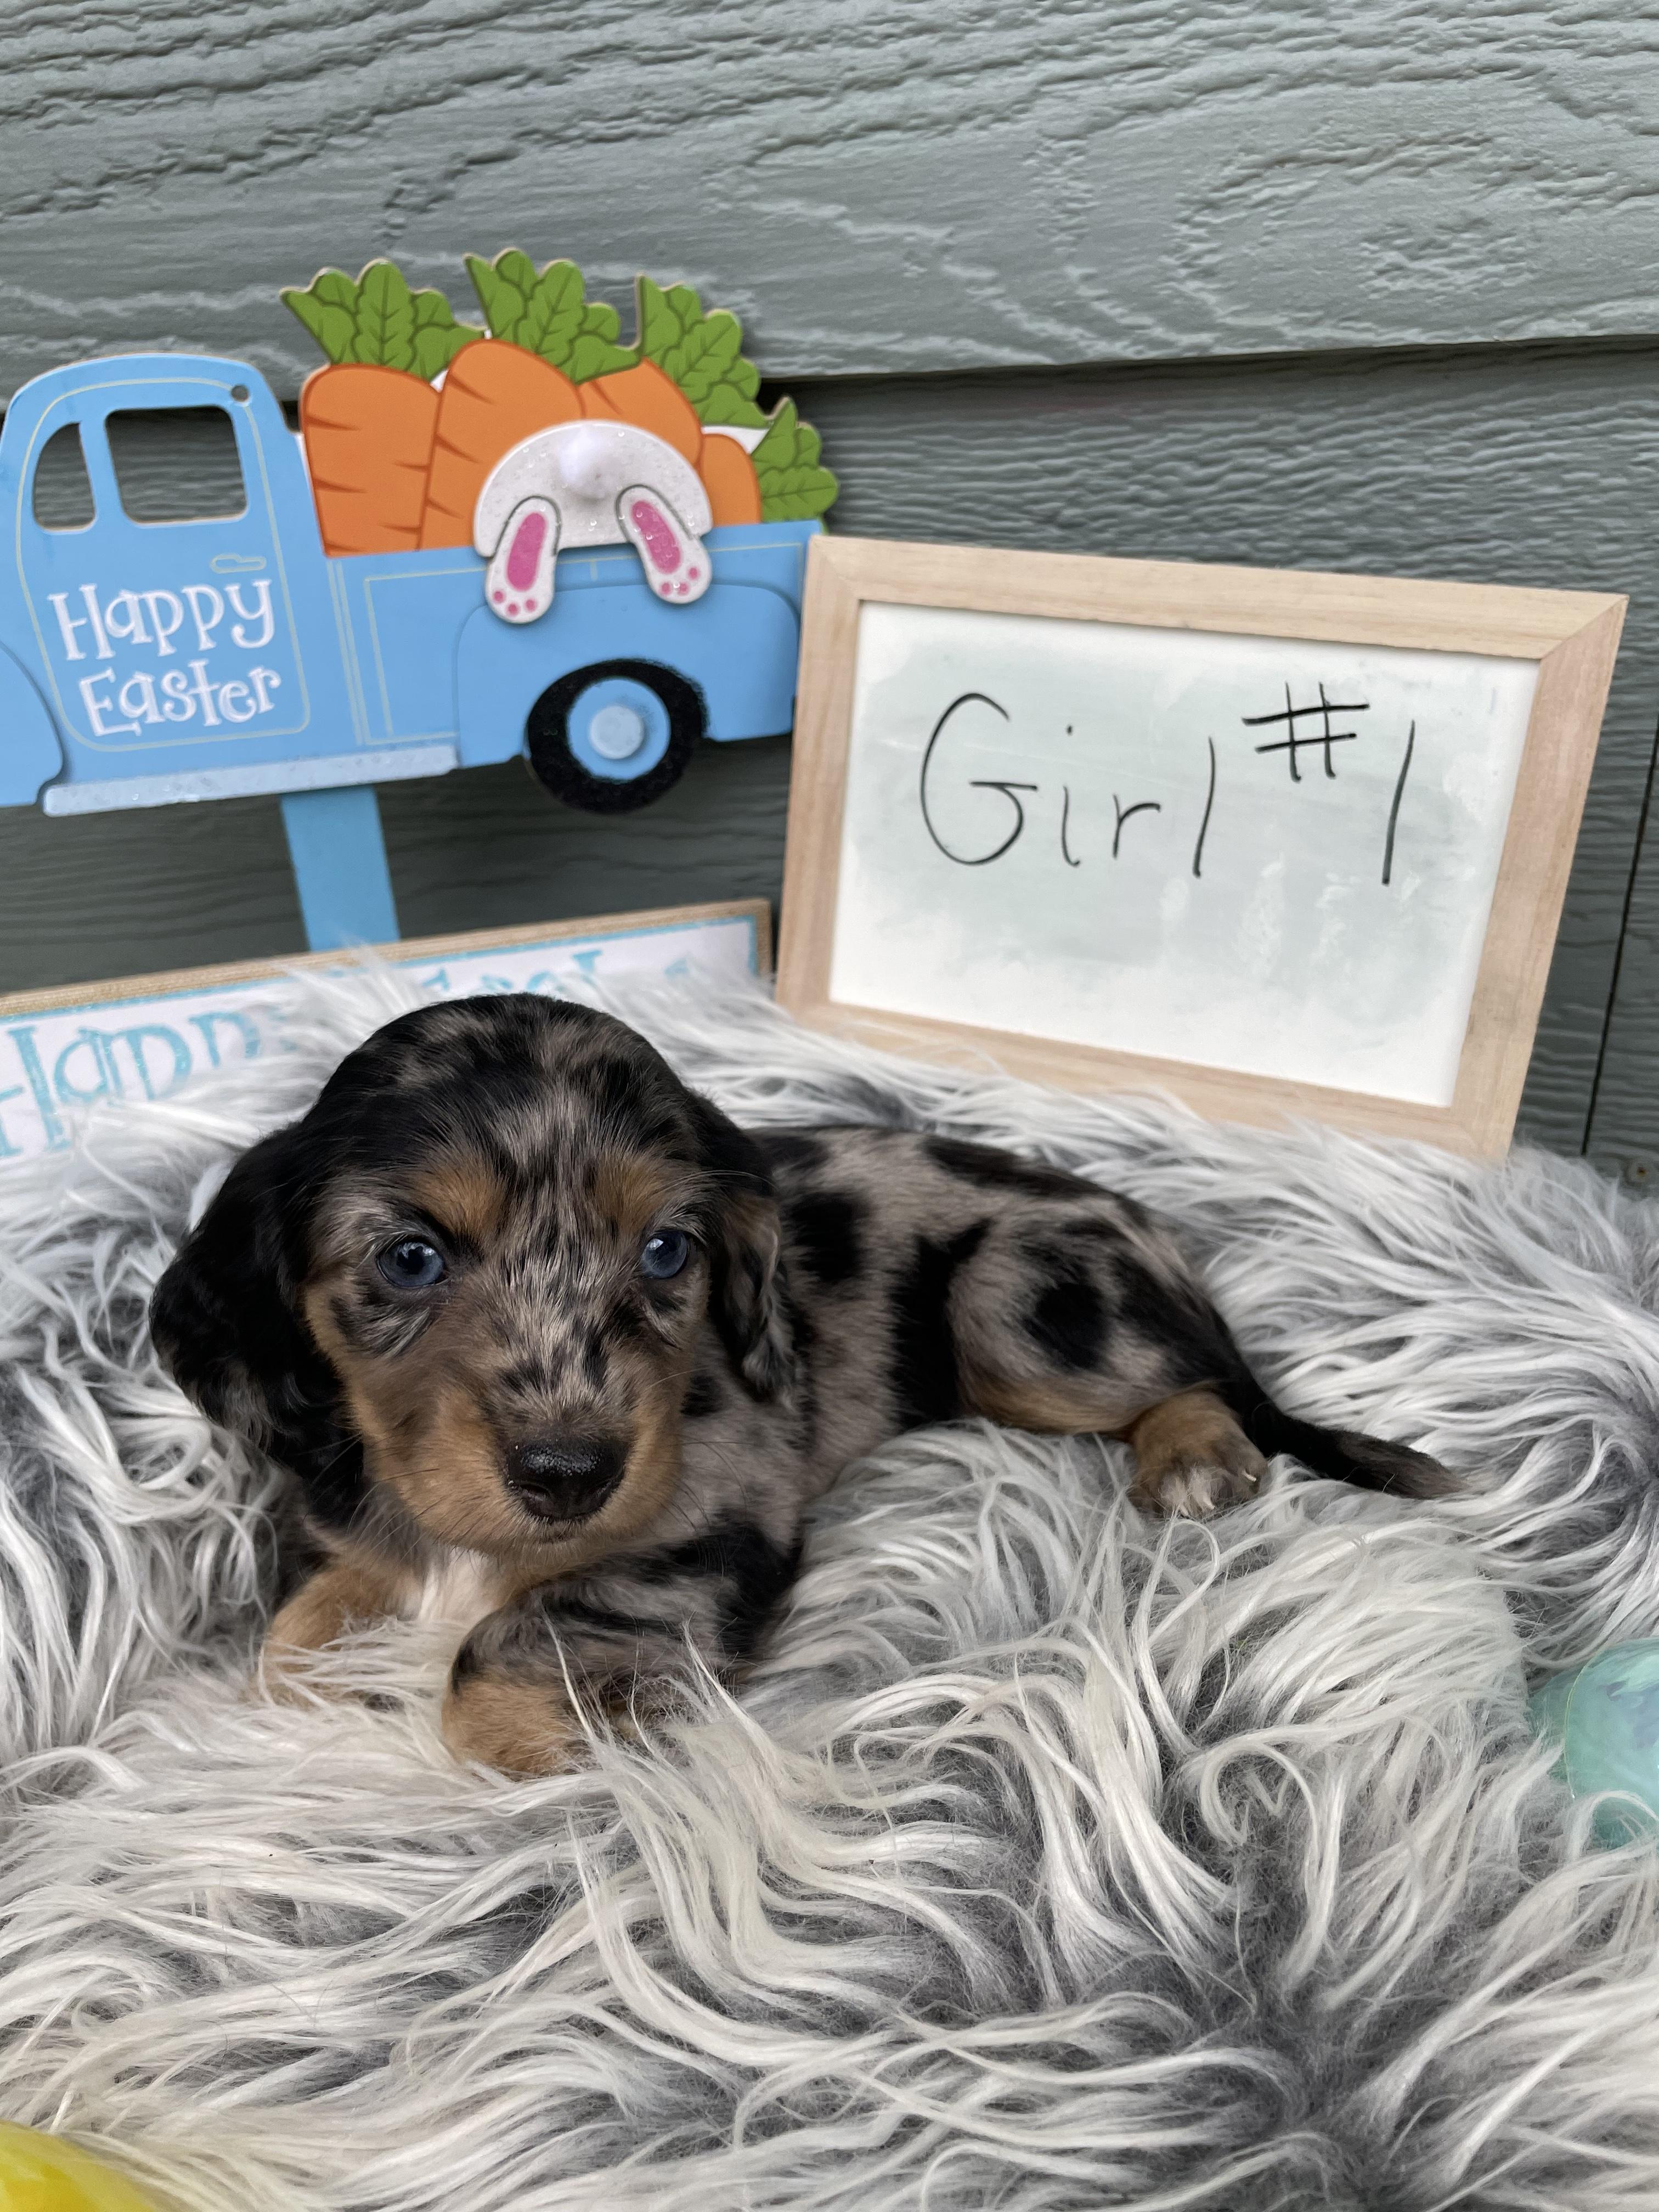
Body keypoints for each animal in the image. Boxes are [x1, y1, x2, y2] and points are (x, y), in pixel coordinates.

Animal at [150, 996, 1450, 1776]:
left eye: (666, 1250)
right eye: (410, 1259)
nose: (571, 1477)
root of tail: (1155, 1229)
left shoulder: (704, 1527)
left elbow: (502, 1650)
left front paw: (550, 1755)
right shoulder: (346, 1533)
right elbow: (292, 1643)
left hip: (1014, 1297)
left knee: (1199, 1380)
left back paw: (1192, 1451)